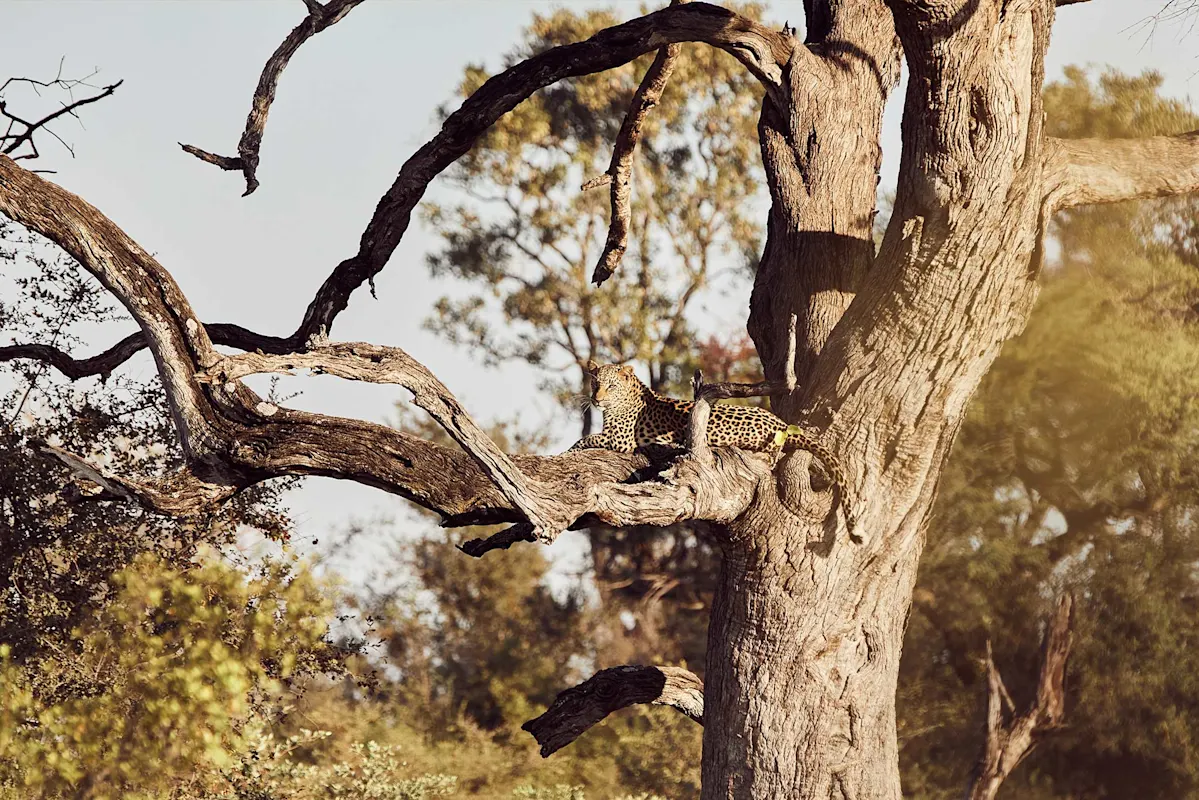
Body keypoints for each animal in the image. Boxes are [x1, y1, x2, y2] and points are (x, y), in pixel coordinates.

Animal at [569, 361, 857, 540]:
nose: (596, 399)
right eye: (595, 384)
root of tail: (780, 423)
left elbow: (585, 439)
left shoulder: (619, 439)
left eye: (611, 386)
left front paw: (569, 450)